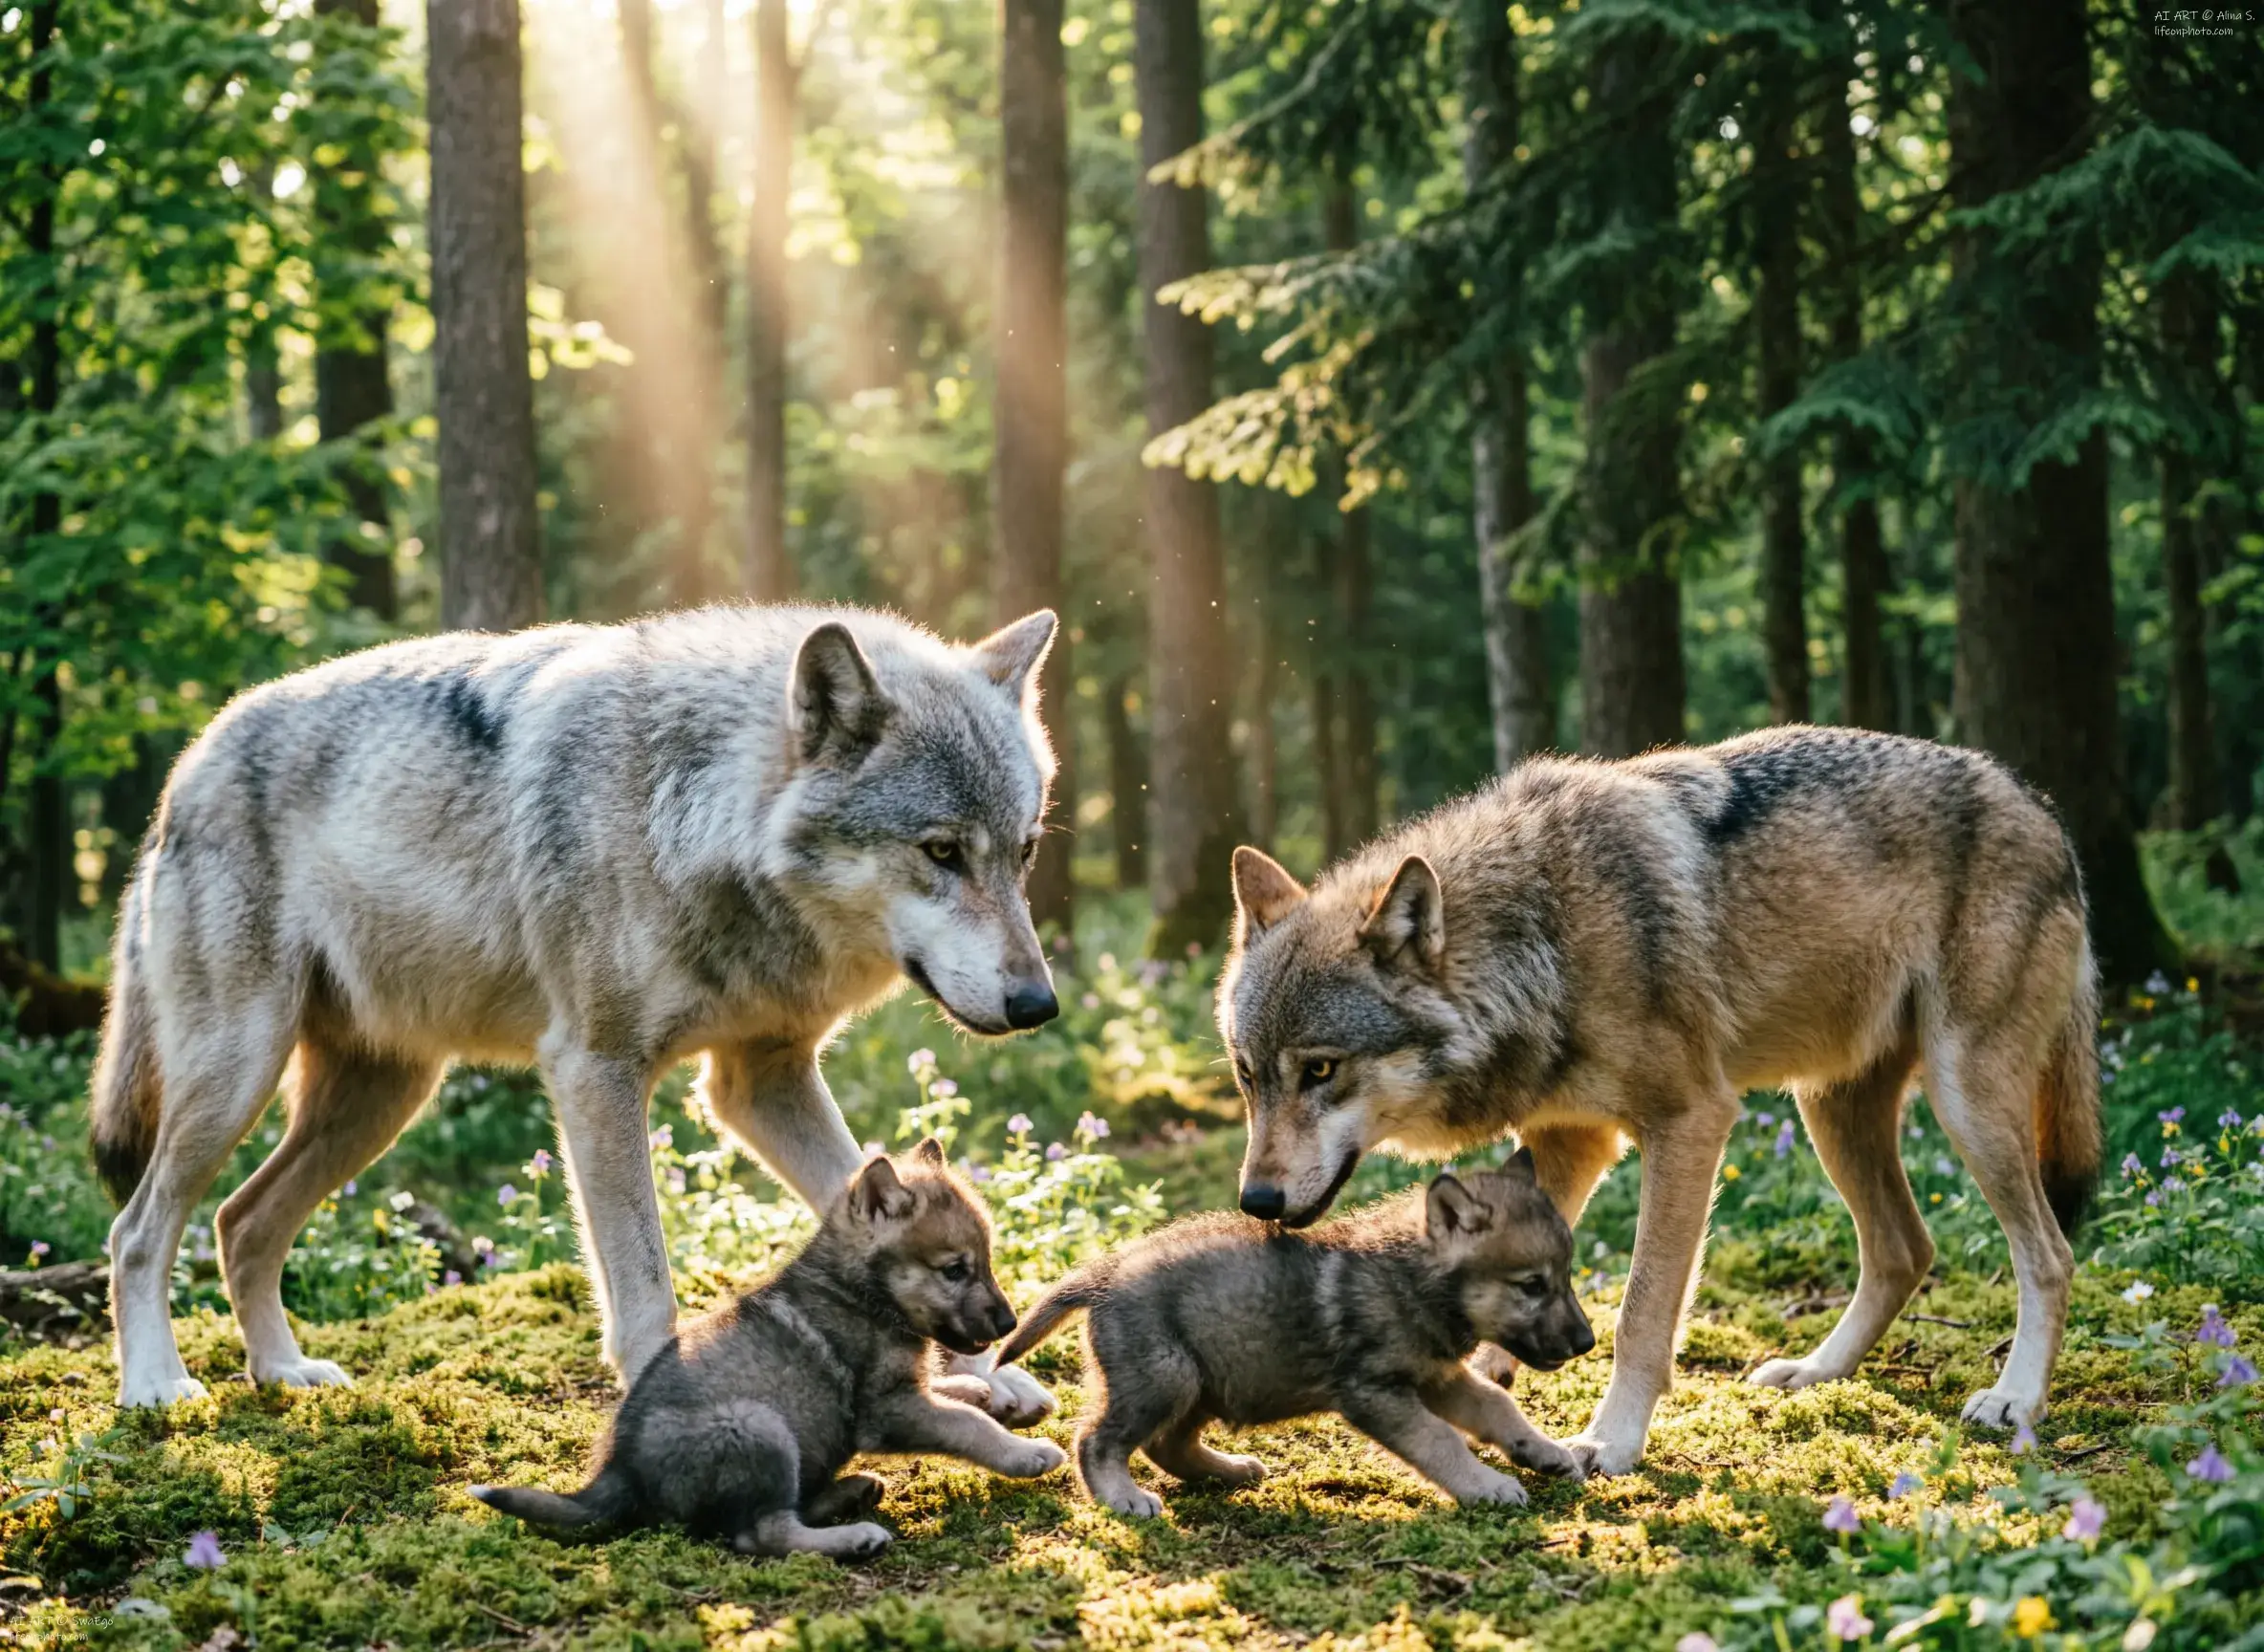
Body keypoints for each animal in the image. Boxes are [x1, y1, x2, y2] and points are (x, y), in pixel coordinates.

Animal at [90, 603, 1065, 1419]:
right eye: (940, 851)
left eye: (1022, 855)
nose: (1038, 1003)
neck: (691, 810)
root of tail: (186, 766)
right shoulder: (595, 1070)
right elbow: (643, 1275)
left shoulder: (759, 1081)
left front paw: (976, 1374)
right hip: (239, 1074)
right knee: (138, 1227)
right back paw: (156, 1386)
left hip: (379, 1102)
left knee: (240, 1222)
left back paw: (283, 1370)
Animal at [471, 1142, 1063, 1558]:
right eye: (955, 1270)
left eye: (986, 1262)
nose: (1011, 1322)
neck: (860, 1292)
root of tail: (619, 1472)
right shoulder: (888, 1408)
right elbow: (967, 1426)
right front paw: (1026, 1453)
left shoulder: (905, 1392)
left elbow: (953, 1393)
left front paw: (982, 1389)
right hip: (759, 1428)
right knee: (761, 1533)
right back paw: (853, 1537)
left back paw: (850, 1492)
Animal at [995, 1155, 1593, 1515]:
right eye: (1532, 1285)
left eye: (1566, 1277)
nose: (1586, 1343)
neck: (1410, 1277)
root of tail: (1102, 1275)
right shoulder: (1376, 1392)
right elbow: (1441, 1440)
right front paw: (1487, 1486)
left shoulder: (1436, 1377)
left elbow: (1497, 1407)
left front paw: (1546, 1451)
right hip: (1167, 1377)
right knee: (1096, 1441)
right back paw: (1123, 1497)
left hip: (1206, 1380)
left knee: (1168, 1444)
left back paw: (1227, 1471)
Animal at [1217, 725, 2101, 1477]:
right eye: (1248, 1075)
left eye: (1321, 1070)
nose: (1255, 1201)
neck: (1543, 935)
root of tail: (2045, 812)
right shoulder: (1570, 1141)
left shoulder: (1689, 1122)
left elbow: (1642, 1310)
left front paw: (1612, 1440)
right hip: (1830, 1112)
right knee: (1904, 1250)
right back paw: (1817, 1372)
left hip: (1966, 1103)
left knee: (2049, 1253)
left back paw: (2015, 1399)